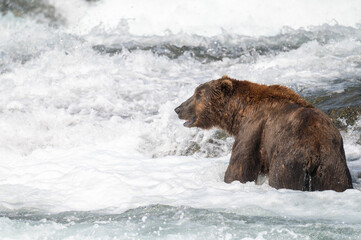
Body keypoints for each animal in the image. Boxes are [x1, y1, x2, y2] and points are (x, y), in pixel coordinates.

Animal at [174, 76, 352, 192]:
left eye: (198, 95)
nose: (178, 108)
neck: (239, 111)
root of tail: (315, 150)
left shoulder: (253, 129)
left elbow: (240, 166)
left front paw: (229, 179)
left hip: (289, 156)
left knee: (282, 178)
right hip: (332, 163)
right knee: (337, 183)